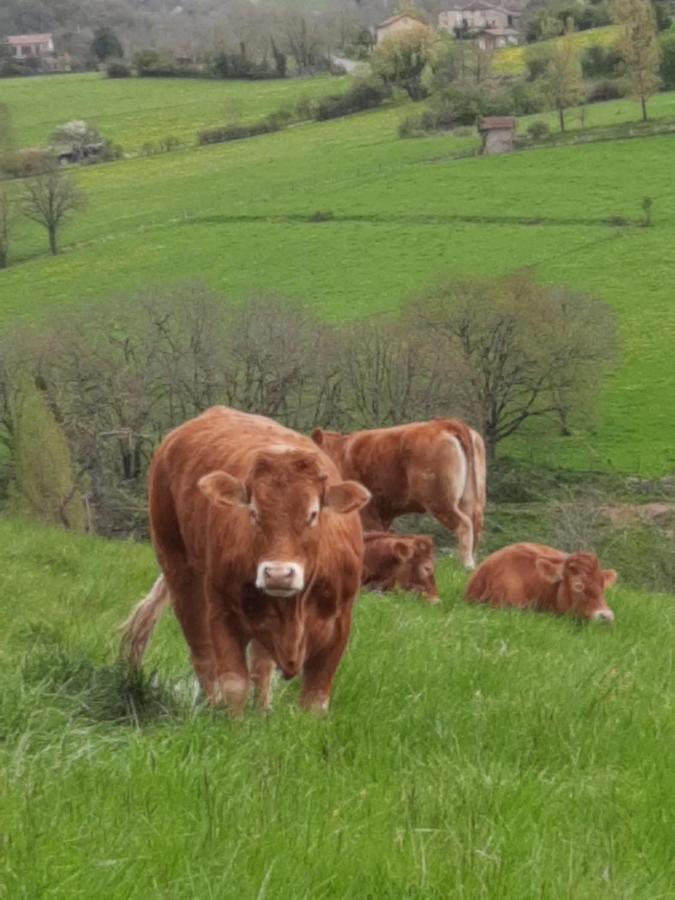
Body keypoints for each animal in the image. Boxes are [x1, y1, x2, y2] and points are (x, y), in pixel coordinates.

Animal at [121, 404, 370, 712]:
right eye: (253, 512)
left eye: (313, 514)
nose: (278, 574)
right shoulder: (223, 614)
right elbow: (234, 684)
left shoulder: (339, 624)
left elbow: (314, 697)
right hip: (178, 568)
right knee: (202, 652)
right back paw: (210, 705)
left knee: (261, 664)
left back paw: (262, 711)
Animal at [312, 420, 486, 568]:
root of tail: (448, 423)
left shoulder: (367, 512)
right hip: (469, 500)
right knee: (475, 526)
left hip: (440, 500)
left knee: (464, 524)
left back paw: (466, 565)